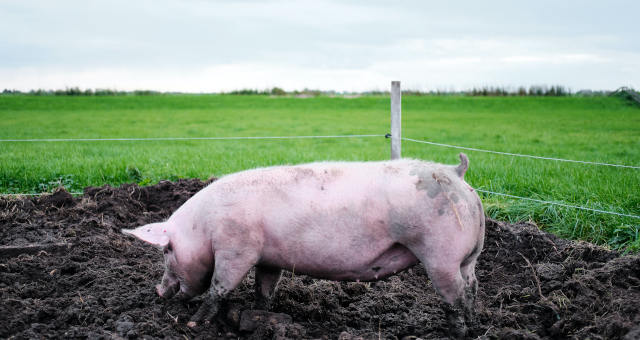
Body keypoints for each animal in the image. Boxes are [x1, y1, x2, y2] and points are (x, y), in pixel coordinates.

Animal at [122, 155, 482, 338]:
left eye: (166, 250)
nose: (158, 290)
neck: (204, 227)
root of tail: (457, 173)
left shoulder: (236, 248)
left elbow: (219, 287)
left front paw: (194, 324)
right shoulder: (268, 257)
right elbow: (264, 288)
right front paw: (258, 316)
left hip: (440, 254)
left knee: (455, 296)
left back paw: (457, 334)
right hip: (468, 258)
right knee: (471, 287)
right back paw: (471, 326)